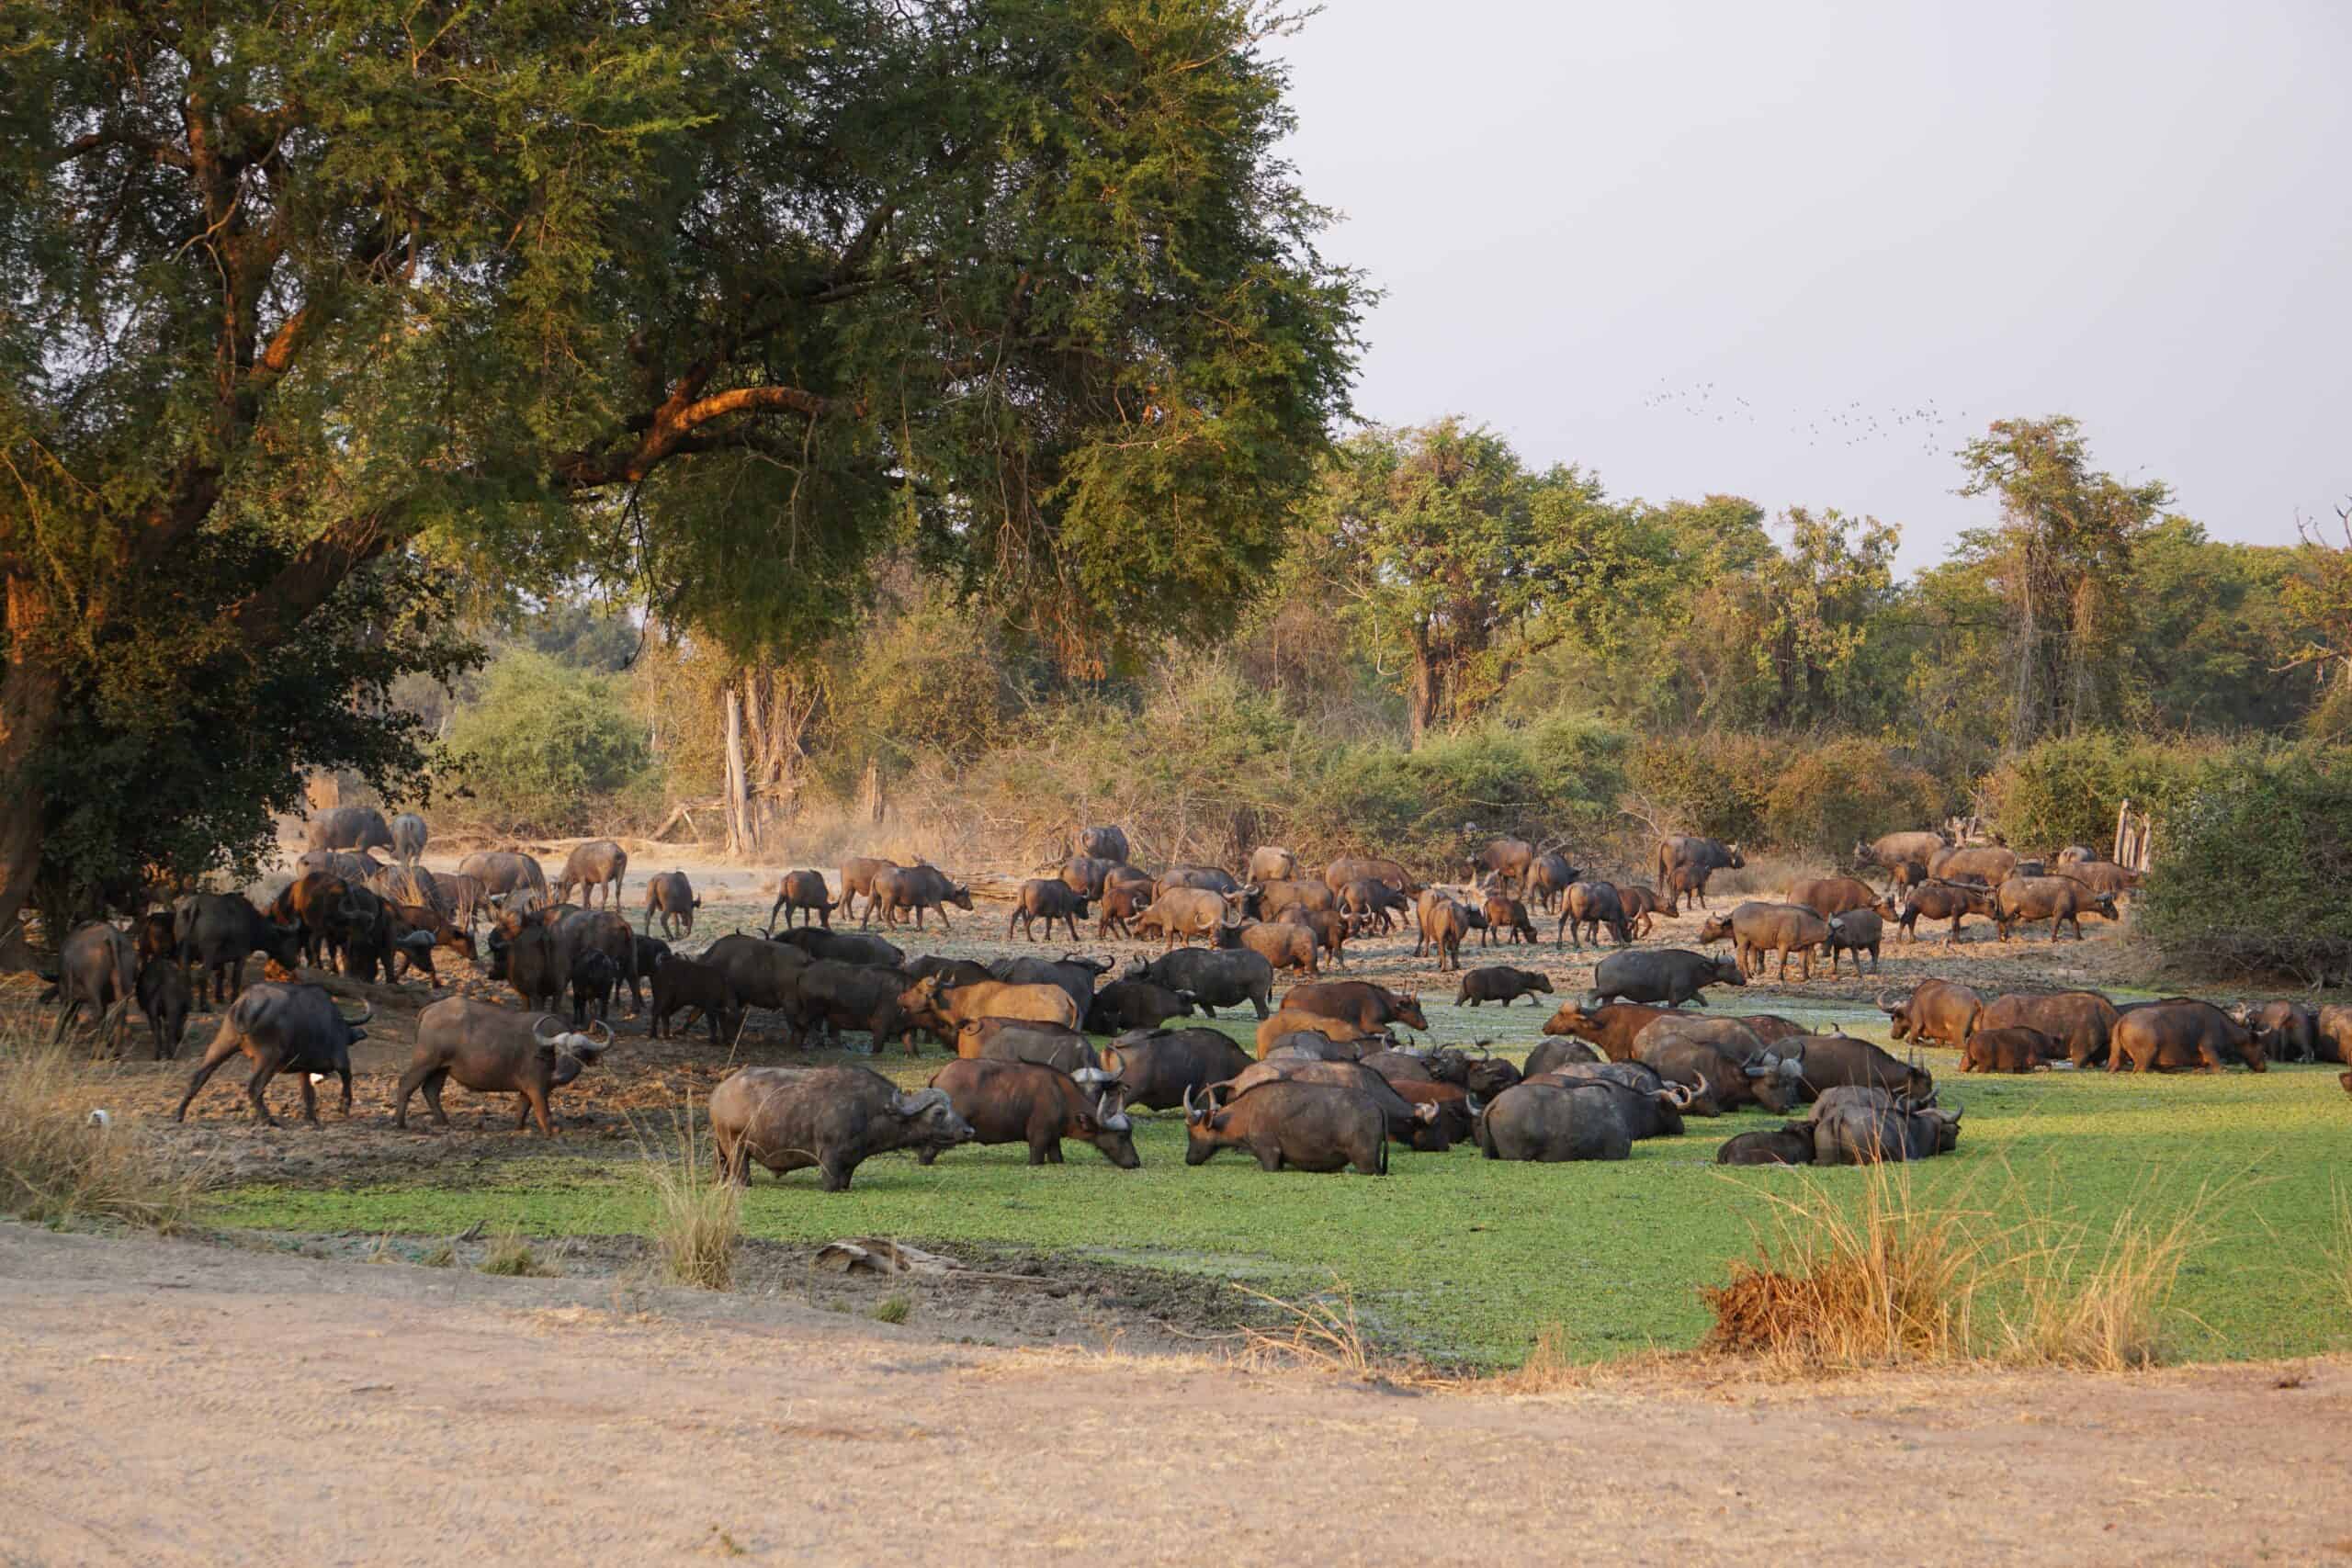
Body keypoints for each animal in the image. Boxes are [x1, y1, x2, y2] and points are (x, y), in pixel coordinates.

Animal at [173, 982, 371, 1128]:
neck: (338, 1023)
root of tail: (246, 1002)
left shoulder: (304, 1069)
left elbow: (308, 1094)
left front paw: (312, 1119)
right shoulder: (341, 1059)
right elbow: (347, 1079)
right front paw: (343, 1108)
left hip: (223, 1044)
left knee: (199, 1076)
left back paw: (179, 1115)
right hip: (269, 1059)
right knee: (254, 1087)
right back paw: (269, 1120)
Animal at [397, 1001, 611, 1133]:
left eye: (578, 1054)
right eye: (557, 1051)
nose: (559, 1075)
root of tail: (431, 1008)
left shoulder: (529, 1089)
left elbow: (522, 1108)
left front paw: (519, 1128)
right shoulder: (536, 1087)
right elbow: (542, 1109)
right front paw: (552, 1130)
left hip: (441, 1068)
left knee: (430, 1090)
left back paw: (444, 1121)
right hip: (425, 1061)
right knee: (406, 1084)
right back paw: (400, 1123)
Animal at [710, 1066, 978, 1189]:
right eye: (939, 1112)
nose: (968, 1131)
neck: (871, 1111)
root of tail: (719, 1093)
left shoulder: (850, 1163)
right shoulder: (829, 1160)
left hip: (722, 1150)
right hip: (736, 1146)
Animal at [917, 1062, 1138, 1170]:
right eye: (1122, 1136)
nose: (1136, 1162)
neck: (1060, 1095)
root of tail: (939, 1076)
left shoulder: (1053, 1140)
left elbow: (1058, 1158)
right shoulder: (1038, 1139)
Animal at [1185, 1081, 1383, 1175]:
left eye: (1192, 1133)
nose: (1188, 1159)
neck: (1246, 1112)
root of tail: (1376, 1105)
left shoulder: (1269, 1155)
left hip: (1365, 1164)